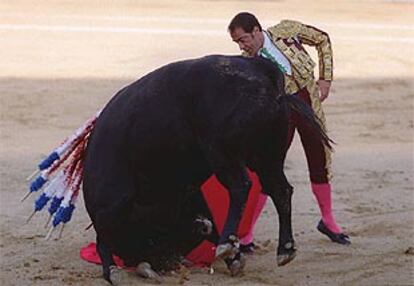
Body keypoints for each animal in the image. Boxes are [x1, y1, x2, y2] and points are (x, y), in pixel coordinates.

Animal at [82, 54, 332, 282]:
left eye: (151, 240)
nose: (166, 262)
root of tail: (261, 69)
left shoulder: (116, 203)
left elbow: (103, 239)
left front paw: (111, 270)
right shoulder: (190, 194)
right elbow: (211, 223)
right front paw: (233, 258)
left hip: (221, 150)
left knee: (241, 185)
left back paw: (228, 244)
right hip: (266, 155)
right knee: (280, 190)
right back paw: (285, 249)